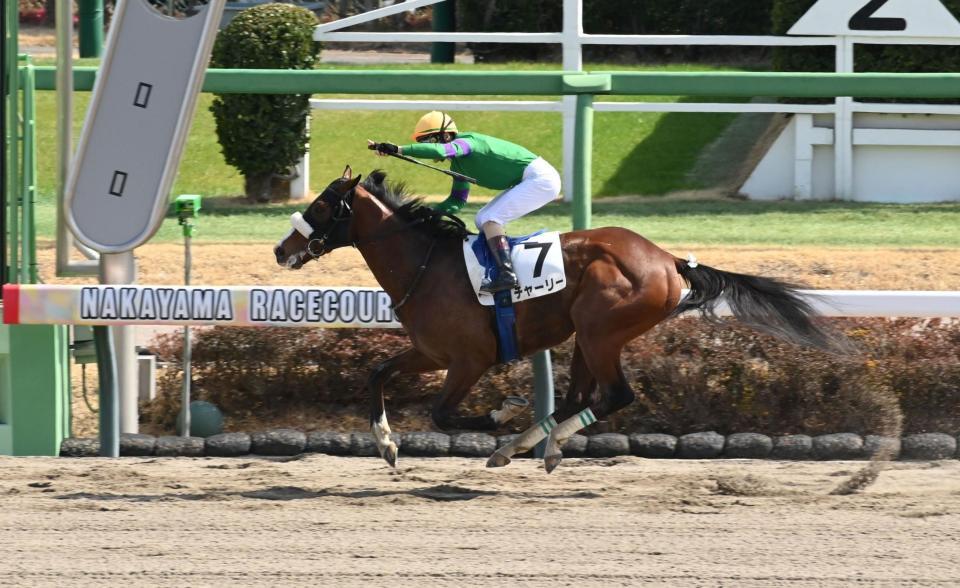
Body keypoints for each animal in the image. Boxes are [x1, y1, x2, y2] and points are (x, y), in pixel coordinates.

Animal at [274, 166, 847, 472]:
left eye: (322, 206)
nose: (282, 249)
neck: (426, 264)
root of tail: (669, 261)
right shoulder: (430, 352)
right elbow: (377, 374)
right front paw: (388, 445)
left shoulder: (469, 360)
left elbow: (442, 415)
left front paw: (501, 413)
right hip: (587, 335)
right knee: (579, 397)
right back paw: (534, 446)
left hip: (601, 330)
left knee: (615, 395)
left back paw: (527, 443)